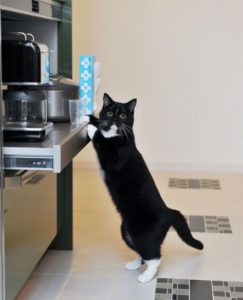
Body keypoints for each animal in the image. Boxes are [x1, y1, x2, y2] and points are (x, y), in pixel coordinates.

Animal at [85, 93, 203, 284]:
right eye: (109, 113)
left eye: (123, 116)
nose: (115, 120)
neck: (115, 134)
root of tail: (169, 211)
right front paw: (90, 118)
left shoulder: (116, 158)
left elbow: (102, 142)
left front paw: (92, 128)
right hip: (126, 231)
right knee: (143, 251)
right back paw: (134, 264)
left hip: (142, 233)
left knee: (154, 256)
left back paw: (146, 276)